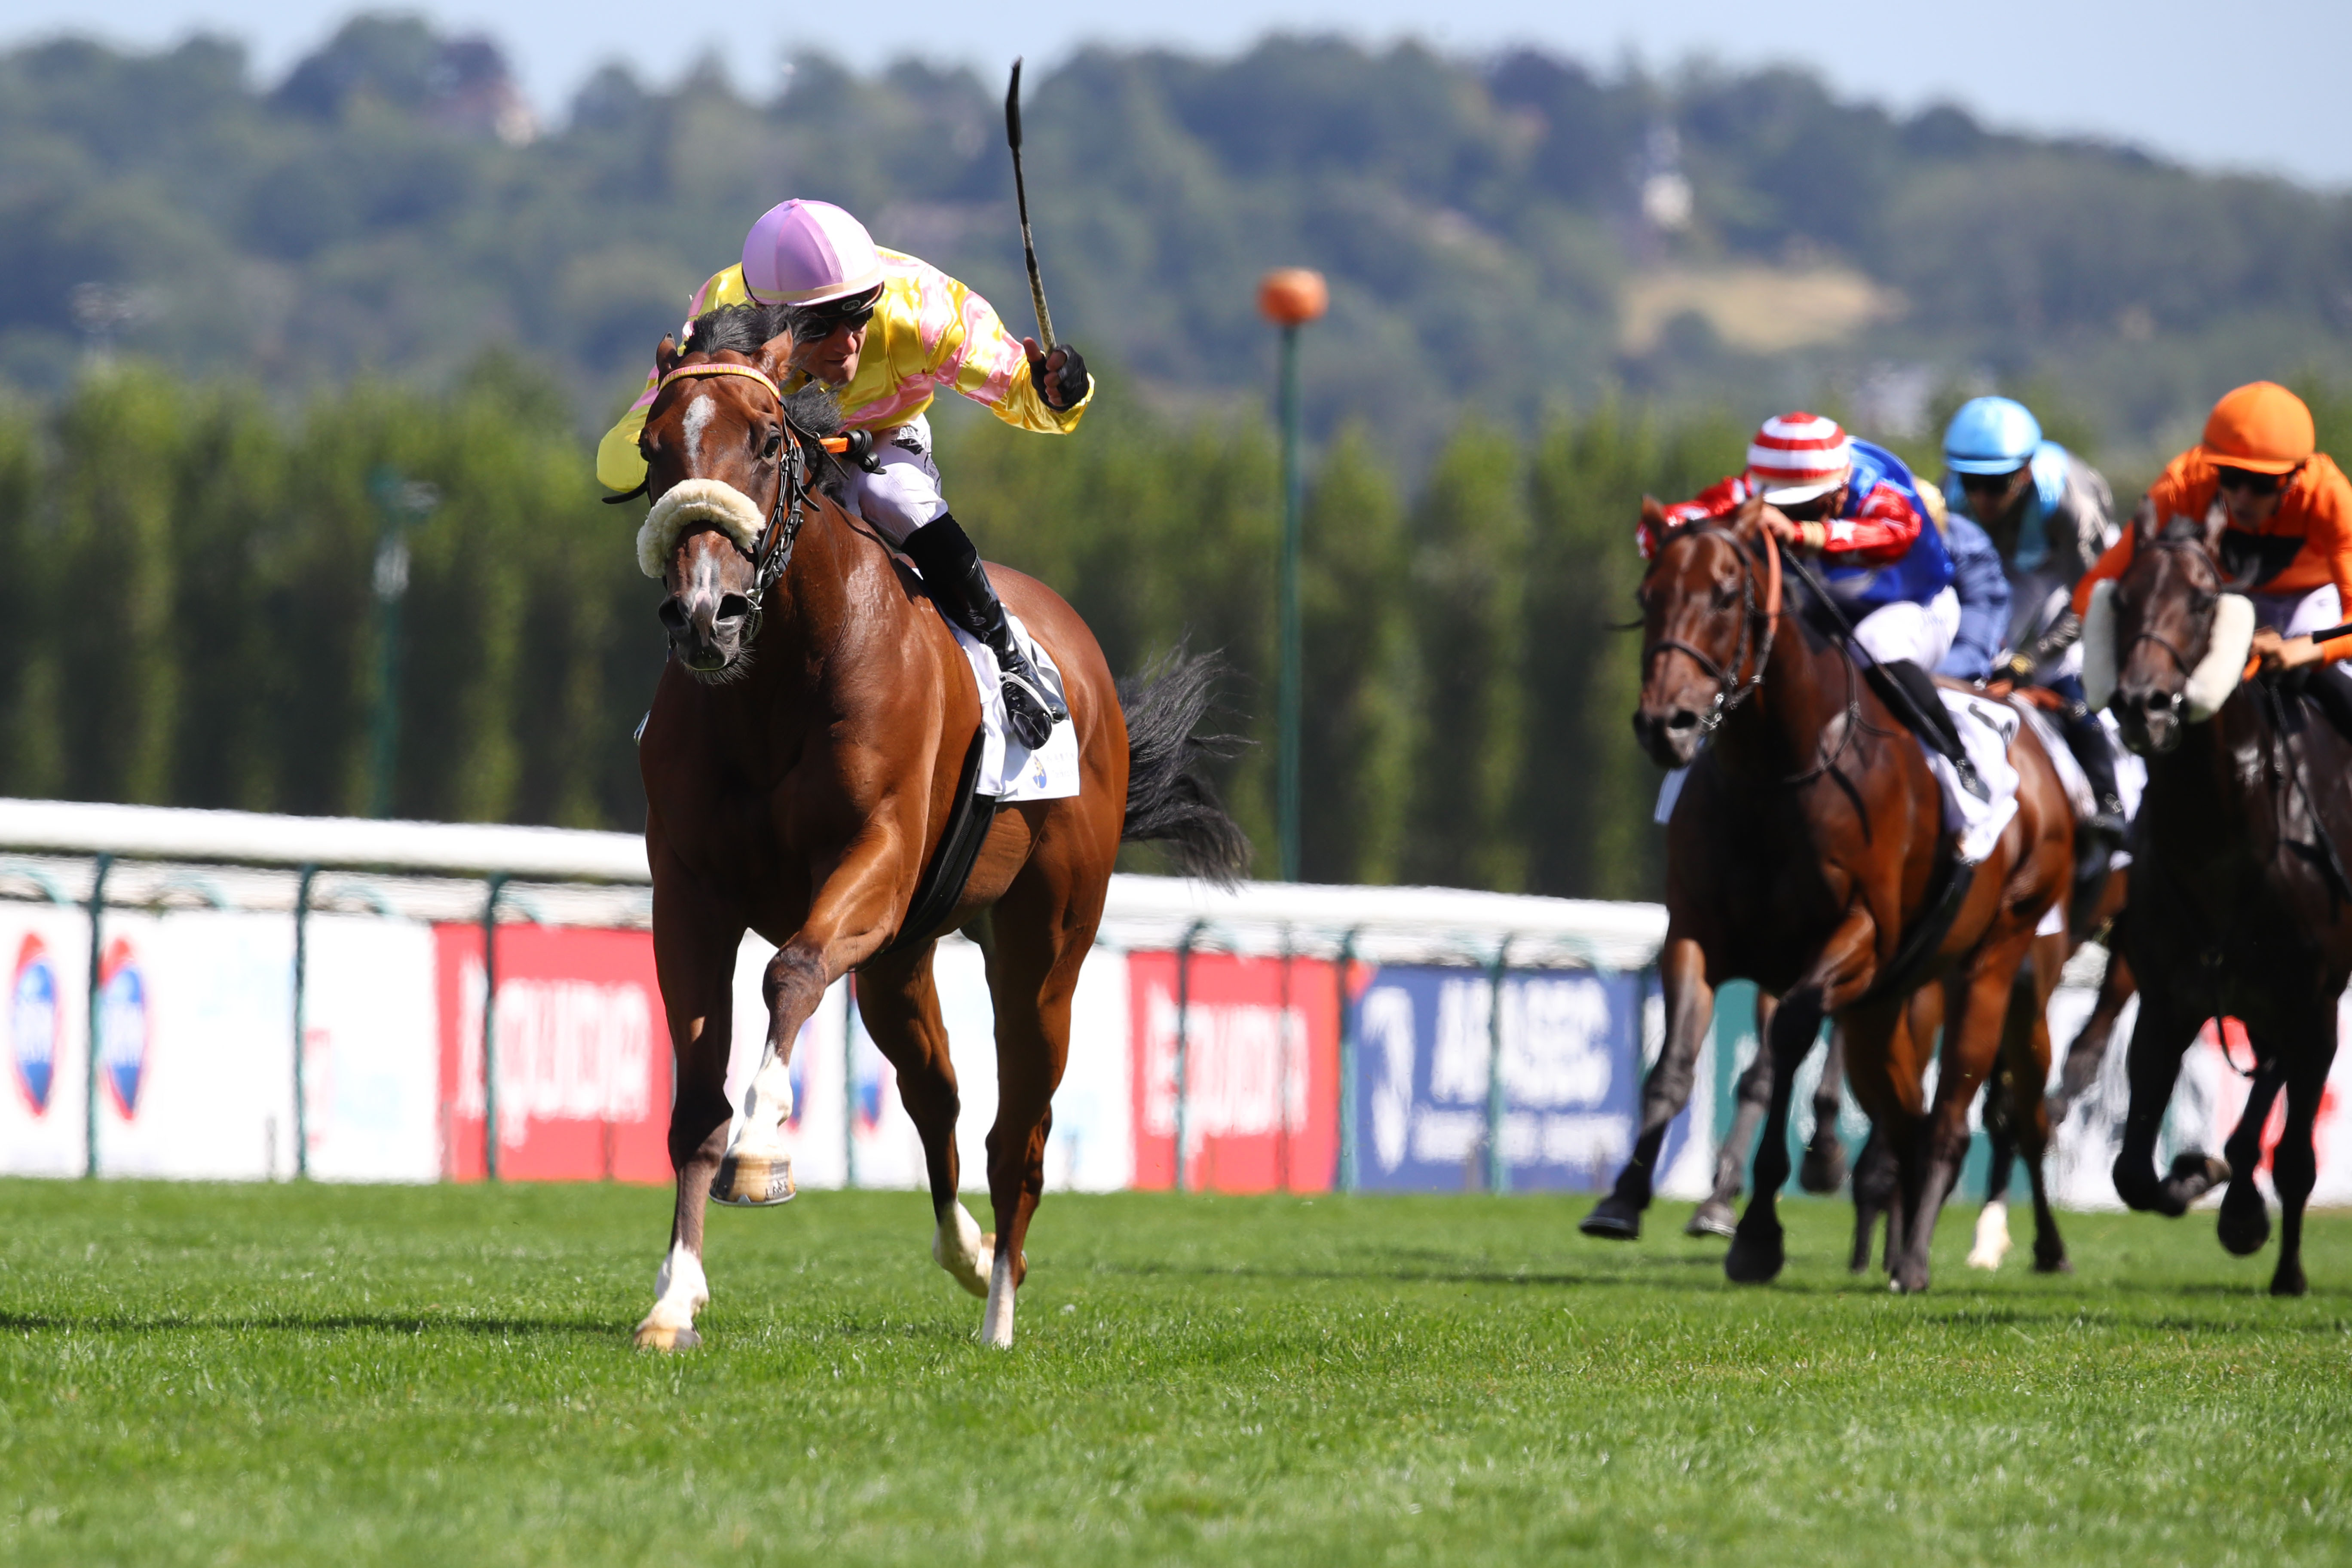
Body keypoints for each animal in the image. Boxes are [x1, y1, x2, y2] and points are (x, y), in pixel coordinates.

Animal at [611, 199, 1251, 1354]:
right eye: (651, 448)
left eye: (767, 440)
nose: (705, 615)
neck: (775, 683)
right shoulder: (689, 890)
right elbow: (696, 1102)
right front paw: (674, 1294)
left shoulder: (874, 853)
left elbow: (788, 976)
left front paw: (766, 1155)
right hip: (903, 957)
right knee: (938, 1099)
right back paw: (963, 1251)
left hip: (1043, 948)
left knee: (1019, 1132)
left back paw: (1000, 1303)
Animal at [1580, 413, 2079, 1288]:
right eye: (1649, 596)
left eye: (1726, 593)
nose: (1666, 724)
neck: (1777, 768)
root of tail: (2036, 738)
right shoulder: (1697, 929)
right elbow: (1675, 1060)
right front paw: (1625, 1197)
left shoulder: (1854, 937)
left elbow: (1782, 1050)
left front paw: (1756, 1230)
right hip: (1893, 997)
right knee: (1905, 1116)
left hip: (1993, 962)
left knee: (1963, 1113)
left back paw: (1917, 1258)